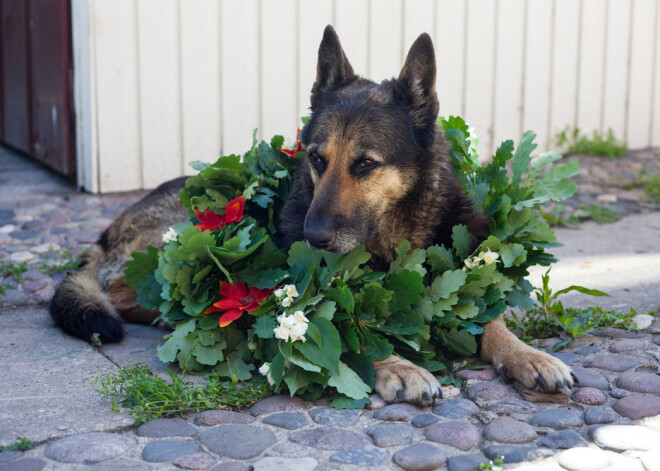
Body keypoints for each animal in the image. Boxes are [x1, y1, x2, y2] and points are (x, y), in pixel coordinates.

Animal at [51, 26, 576, 406]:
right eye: (317, 159)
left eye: (364, 164)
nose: (310, 236)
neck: (395, 239)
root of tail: (110, 229)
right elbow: (349, 333)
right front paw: (399, 366)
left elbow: (492, 321)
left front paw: (528, 356)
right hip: (181, 231)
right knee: (127, 292)